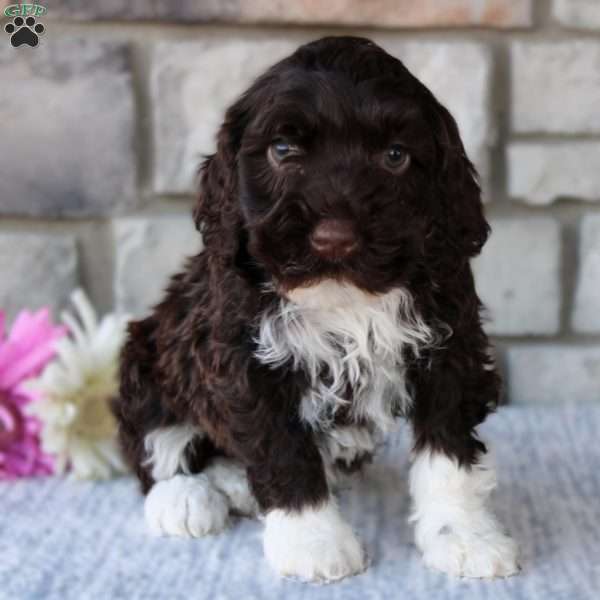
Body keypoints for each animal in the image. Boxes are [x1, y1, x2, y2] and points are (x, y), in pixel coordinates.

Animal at [113, 36, 520, 580]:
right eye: (283, 150)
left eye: (395, 156)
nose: (334, 238)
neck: (343, 294)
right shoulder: (246, 360)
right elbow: (282, 449)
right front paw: (313, 541)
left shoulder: (450, 344)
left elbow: (449, 449)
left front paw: (466, 536)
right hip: (148, 351)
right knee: (158, 441)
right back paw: (184, 497)